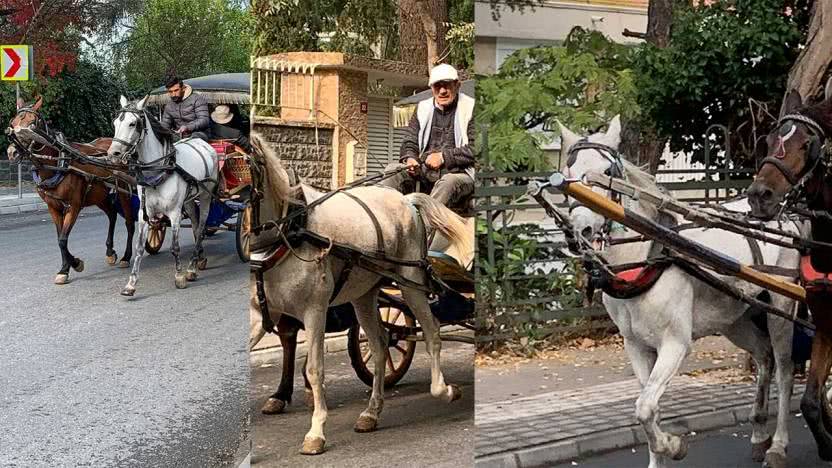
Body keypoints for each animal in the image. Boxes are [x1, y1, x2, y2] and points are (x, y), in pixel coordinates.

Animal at [8, 97, 136, 284]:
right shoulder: (53, 207)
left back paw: (126, 257)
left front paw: (75, 264)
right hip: (99, 195)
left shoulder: (74, 205)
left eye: (32, 124)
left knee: (129, 222)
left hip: (123, 191)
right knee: (112, 214)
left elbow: (63, 239)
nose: (12, 152)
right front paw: (65, 268)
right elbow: (59, 238)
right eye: (12, 123)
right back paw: (110, 252)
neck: (58, 163)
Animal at [106, 96, 218, 296]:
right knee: (196, 225)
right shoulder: (144, 213)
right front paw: (131, 284)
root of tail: (203, 143)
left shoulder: (174, 213)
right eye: (115, 123)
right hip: (189, 201)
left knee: (201, 227)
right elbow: (139, 247)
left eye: (133, 123)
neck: (160, 170)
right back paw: (199, 260)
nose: (113, 154)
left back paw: (191, 268)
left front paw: (179, 276)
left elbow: (175, 246)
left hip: (206, 196)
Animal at [247, 133, 472, 454]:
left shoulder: (314, 311)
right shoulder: (261, 314)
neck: (290, 229)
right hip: (364, 295)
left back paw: (444, 389)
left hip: (411, 283)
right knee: (380, 345)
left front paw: (316, 431)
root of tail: (406, 200)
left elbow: (315, 369)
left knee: (432, 333)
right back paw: (372, 411)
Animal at [560, 116, 800, 468]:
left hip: (781, 309)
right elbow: (649, 408)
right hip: (735, 319)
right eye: (567, 173)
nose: (580, 230)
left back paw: (779, 444)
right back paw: (758, 434)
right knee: (764, 357)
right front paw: (660, 453)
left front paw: (673, 445)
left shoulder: (674, 344)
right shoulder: (636, 346)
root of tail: (785, 217)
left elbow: (645, 408)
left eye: (607, 172)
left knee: (785, 370)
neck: (645, 258)